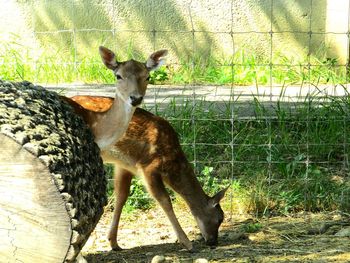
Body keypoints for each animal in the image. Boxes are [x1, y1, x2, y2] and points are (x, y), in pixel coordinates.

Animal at [68, 96, 228, 252]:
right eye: (220, 218)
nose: (213, 241)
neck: (172, 164)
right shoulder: (148, 166)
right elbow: (165, 200)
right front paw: (187, 244)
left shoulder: (125, 166)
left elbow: (121, 197)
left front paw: (114, 242)